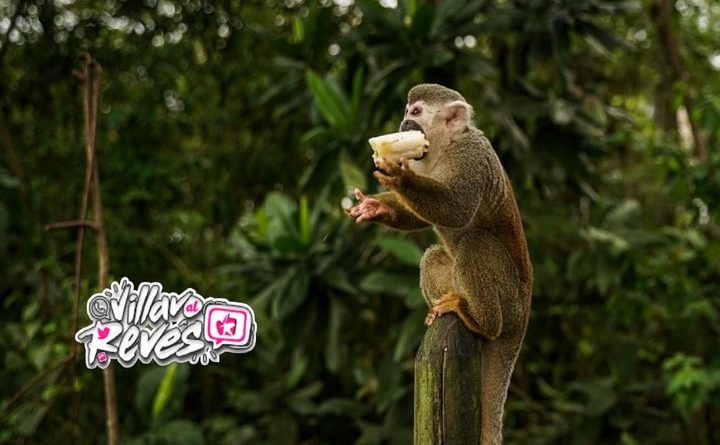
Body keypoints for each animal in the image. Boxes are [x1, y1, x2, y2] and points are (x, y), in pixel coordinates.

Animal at [346, 83, 532, 444]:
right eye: (406, 113)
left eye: (416, 112)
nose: (404, 124)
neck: (445, 149)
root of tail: (525, 310)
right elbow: (422, 216)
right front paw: (377, 208)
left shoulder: (471, 158)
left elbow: (456, 209)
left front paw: (398, 177)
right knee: (435, 255)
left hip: (510, 302)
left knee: (475, 243)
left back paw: (480, 323)